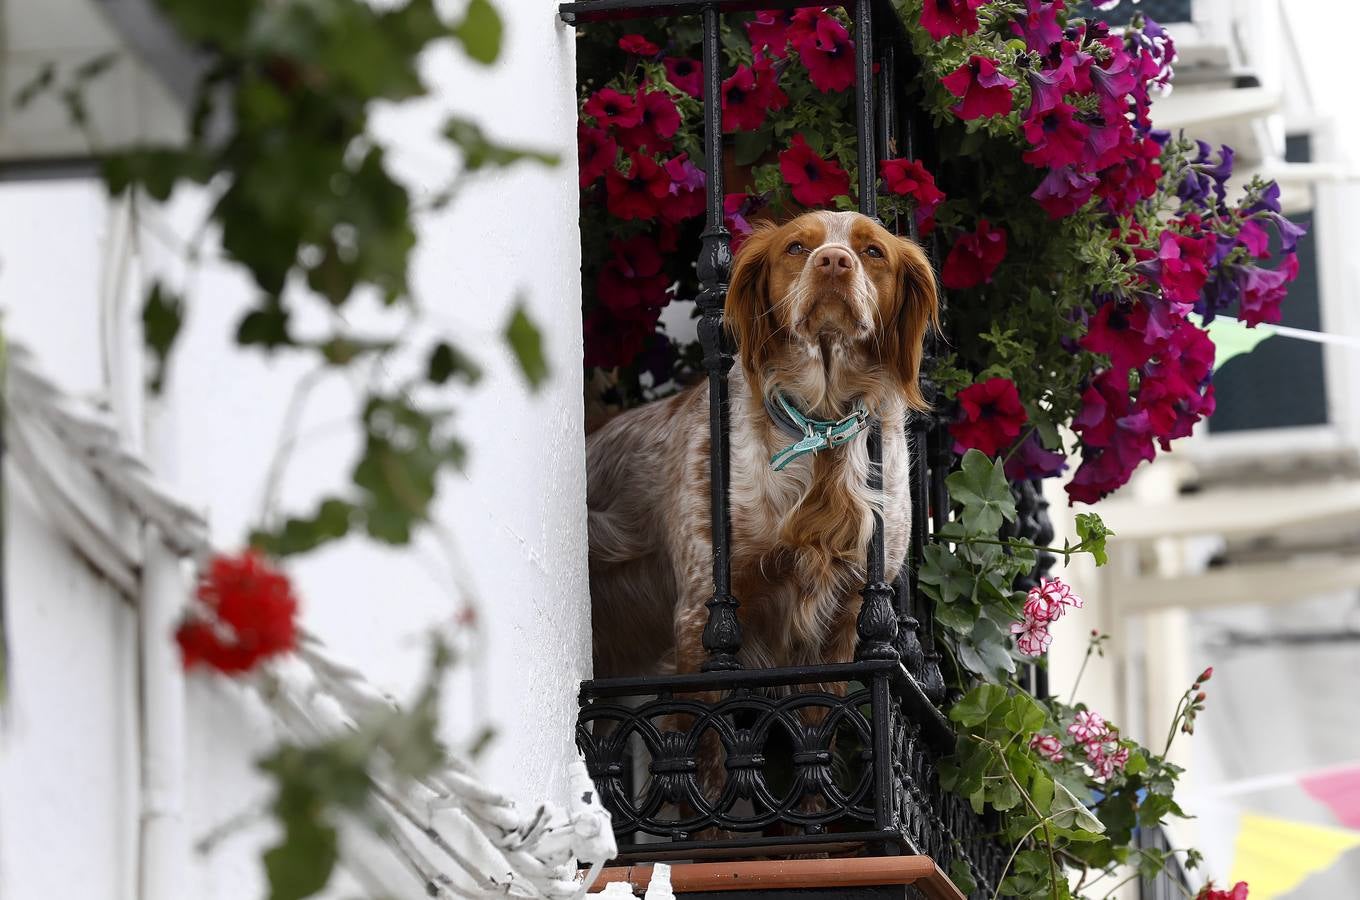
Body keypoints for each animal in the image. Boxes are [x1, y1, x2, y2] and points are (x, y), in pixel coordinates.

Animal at [590, 208, 941, 679]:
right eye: (795, 247)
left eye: (873, 251)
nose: (833, 261)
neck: (820, 426)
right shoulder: (702, 617)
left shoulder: (852, 618)